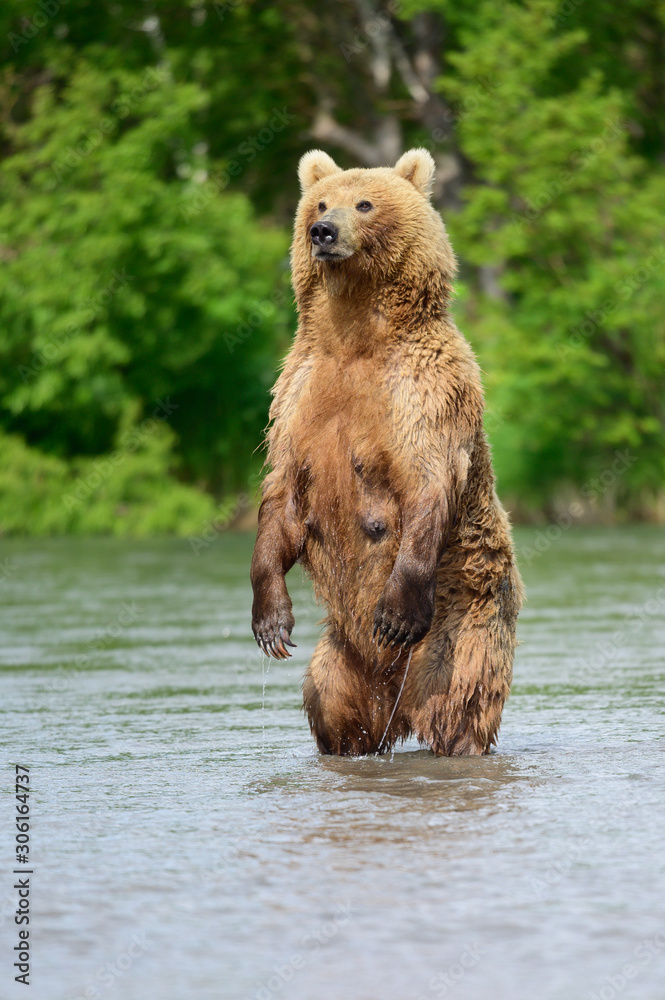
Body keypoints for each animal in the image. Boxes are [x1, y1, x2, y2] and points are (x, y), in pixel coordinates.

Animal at [250, 147, 523, 756]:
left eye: (365, 203)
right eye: (320, 202)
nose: (323, 231)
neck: (356, 338)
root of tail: (392, 699)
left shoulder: (424, 391)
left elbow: (428, 483)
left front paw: (396, 613)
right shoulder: (298, 396)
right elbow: (281, 495)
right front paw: (271, 621)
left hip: (461, 624)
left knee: (459, 704)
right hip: (341, 658)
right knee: (329, 704)